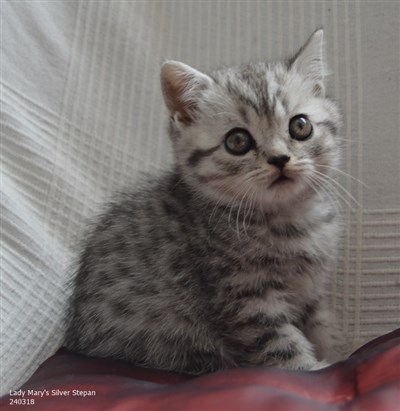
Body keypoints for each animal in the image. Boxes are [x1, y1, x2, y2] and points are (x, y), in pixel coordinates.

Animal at [66, 30, 344, 374]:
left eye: (300, 126)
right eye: (238, 141)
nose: (280, 159)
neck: (289, 216)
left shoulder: (311, 291)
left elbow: (322, 324)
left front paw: (337, 353)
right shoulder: (244, 300)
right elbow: (282, 349)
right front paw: (312, 368)